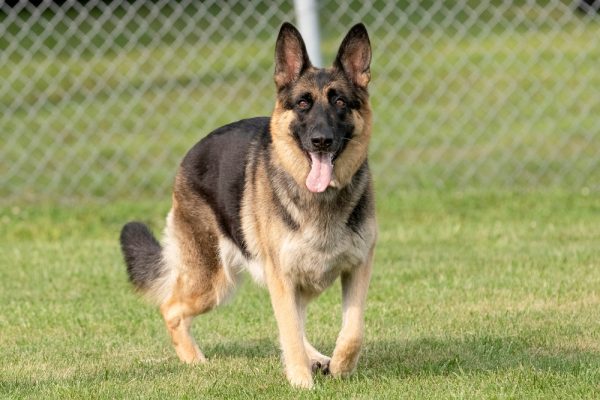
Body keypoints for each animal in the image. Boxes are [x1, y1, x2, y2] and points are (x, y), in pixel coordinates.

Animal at [119, 21, 378, 388]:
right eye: (303, 103)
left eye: (340, 101)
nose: (321, 141)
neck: (320, 199)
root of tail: (192, 151)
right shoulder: (283, 277)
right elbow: (290, 333)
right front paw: (301, 383)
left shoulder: (357, 267)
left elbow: (352, 331)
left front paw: (341, 365)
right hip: (213, 282)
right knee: (171, 309)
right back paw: (194, 361)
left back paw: (317, 357)